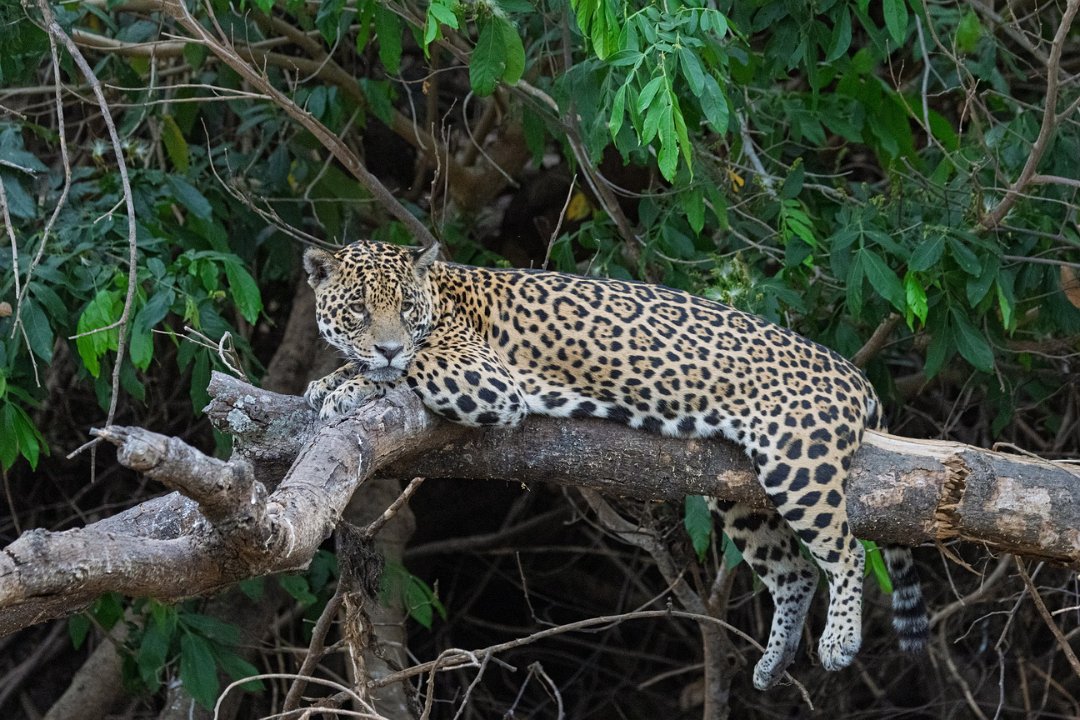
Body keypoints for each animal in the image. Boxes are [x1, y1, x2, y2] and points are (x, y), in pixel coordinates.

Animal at [303, 240, 929, 690]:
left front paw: (352, 384)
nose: (387, 344)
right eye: (359, 310)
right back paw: (773, 664)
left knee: (846, 552)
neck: (443, 296)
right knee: (794, 571)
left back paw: (839, 642)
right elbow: (363, 368)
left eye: (406, 307)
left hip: (798, 459)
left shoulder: (484, 378)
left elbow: (406, 368)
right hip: (740, 492)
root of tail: (856, 376)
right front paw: (329, 382)